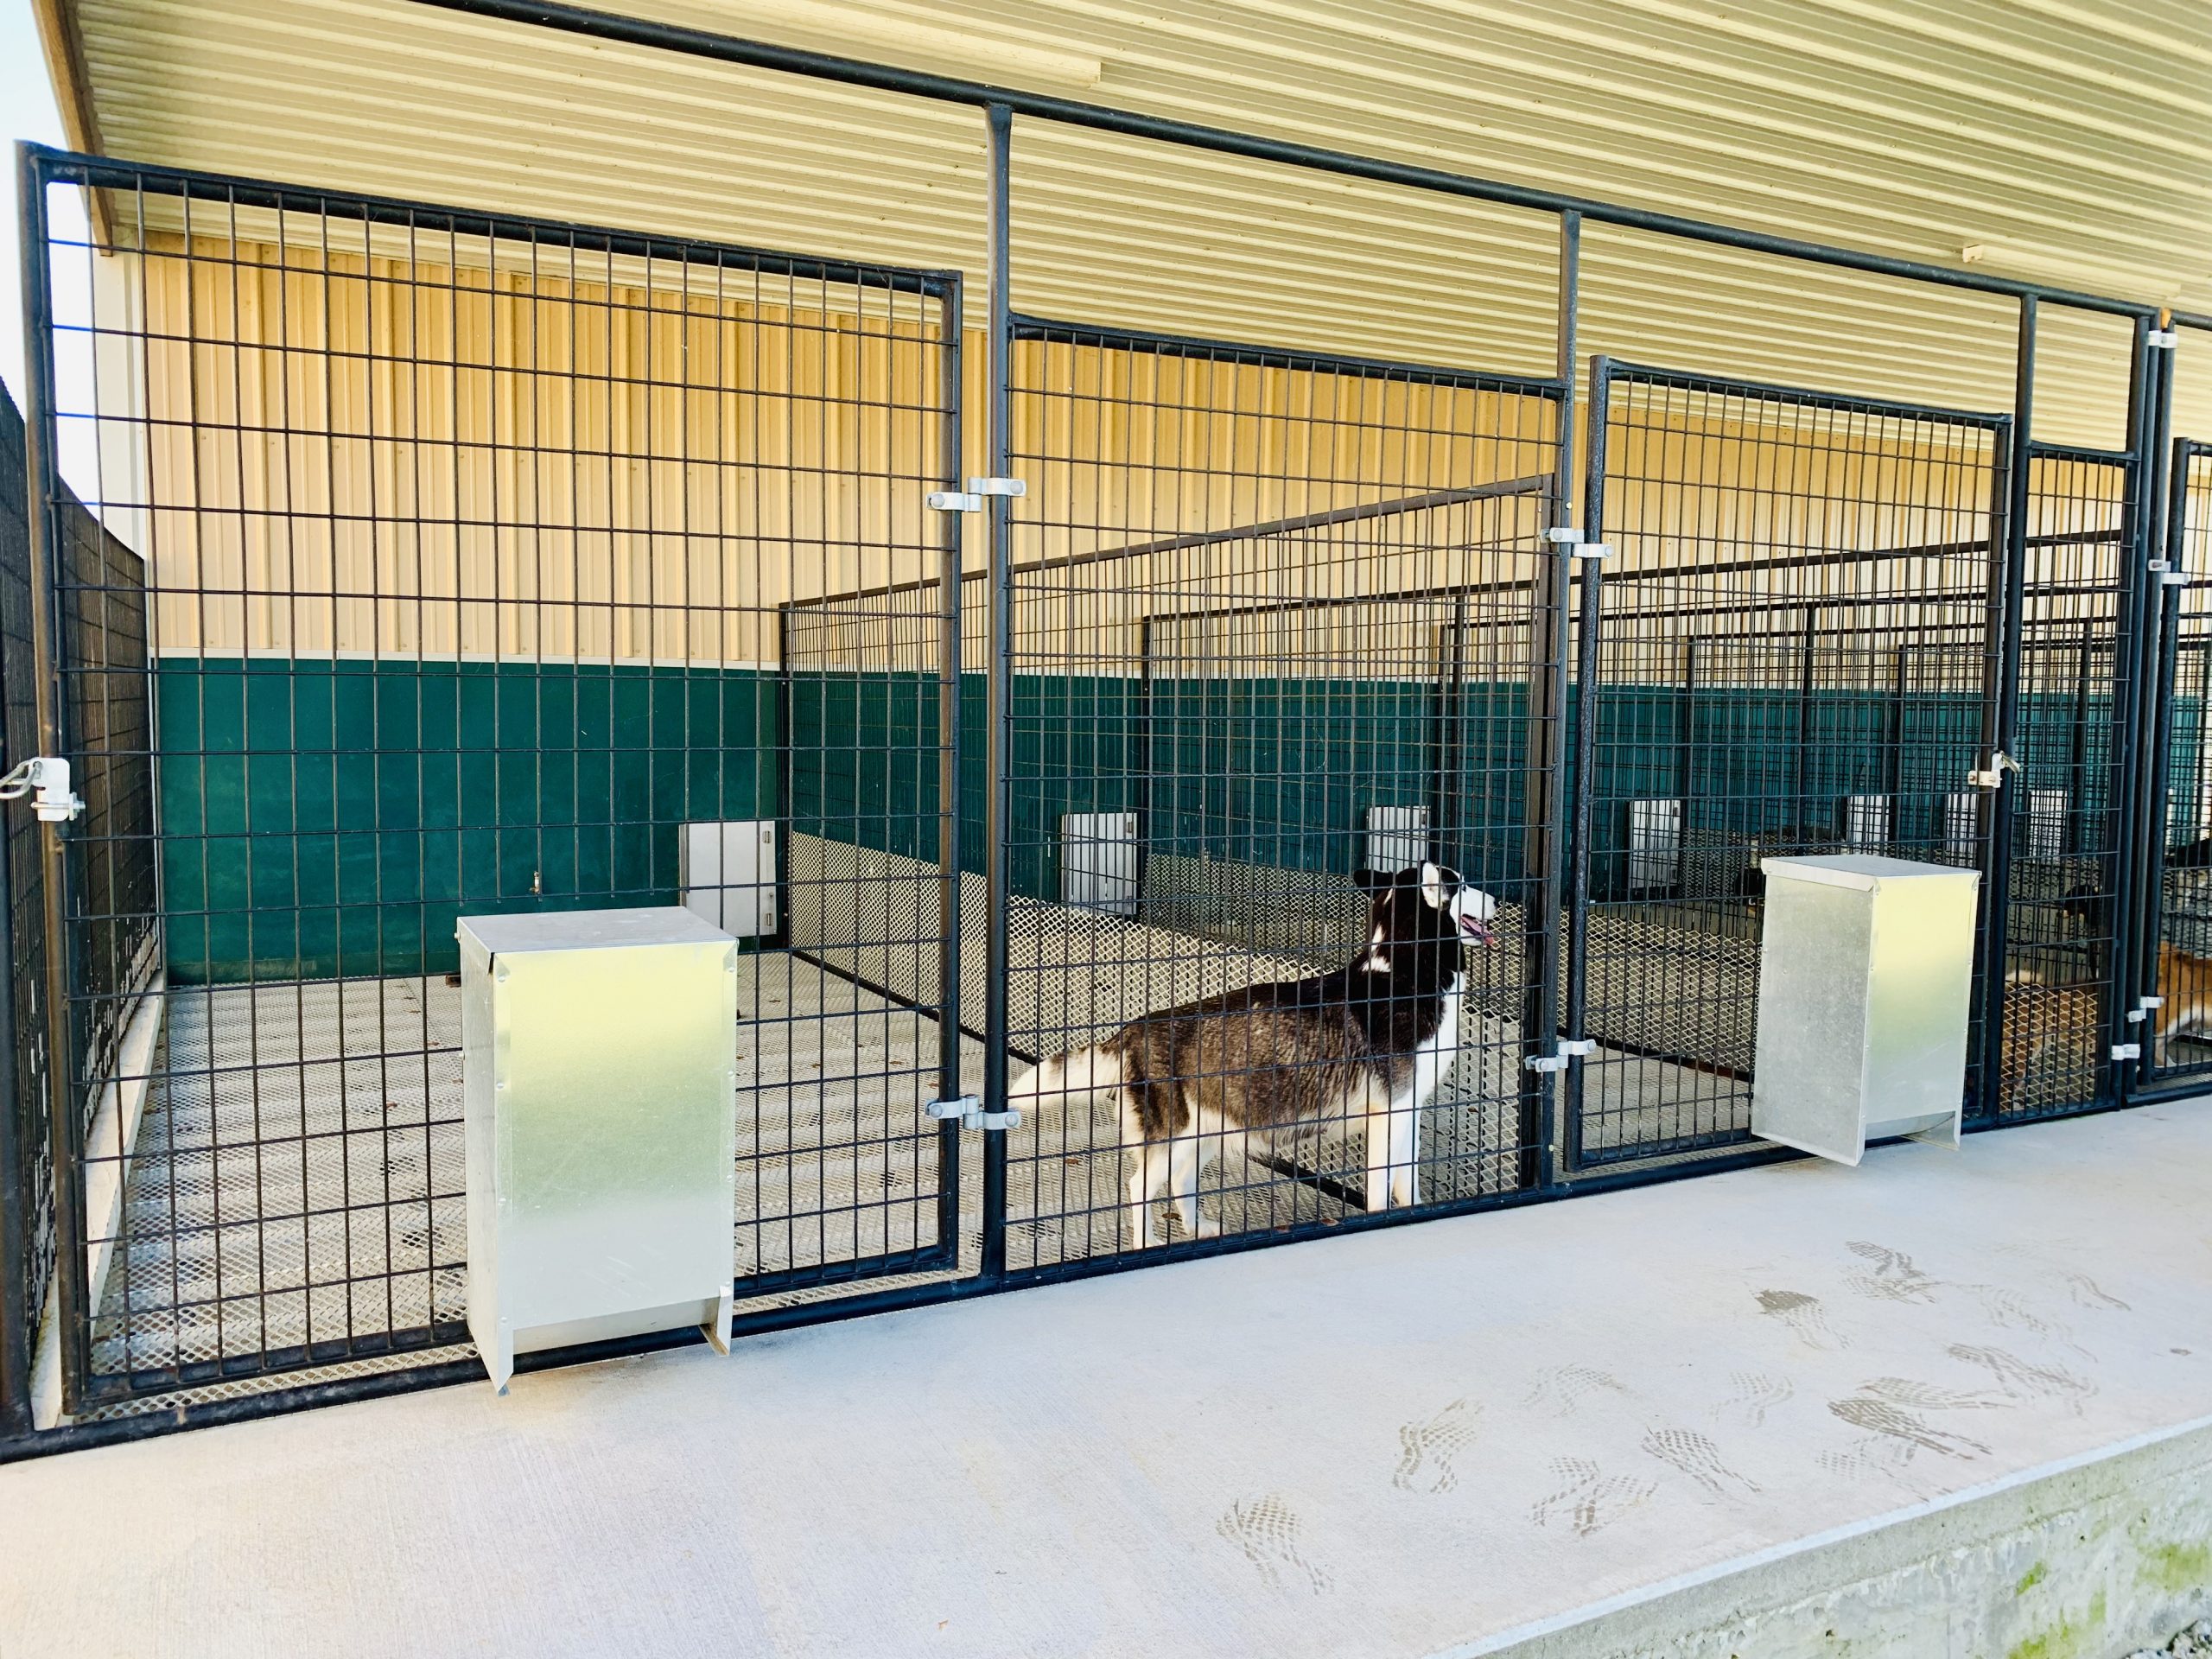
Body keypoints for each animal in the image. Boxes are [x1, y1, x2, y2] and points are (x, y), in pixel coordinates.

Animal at [1008, 871, 1495, 1247]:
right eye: (1461, 882)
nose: (1495, 898)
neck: (1400, 975)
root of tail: (1132, 1029)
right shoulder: (1386, 1113)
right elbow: (1380, 1189)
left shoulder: (1407, 1111)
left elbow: (1406, 1181)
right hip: (1172, 1135)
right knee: (1139, 1186)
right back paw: (1146, 1244)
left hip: (1204, 1131)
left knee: (1181, 1182)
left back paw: (1198, 1229)